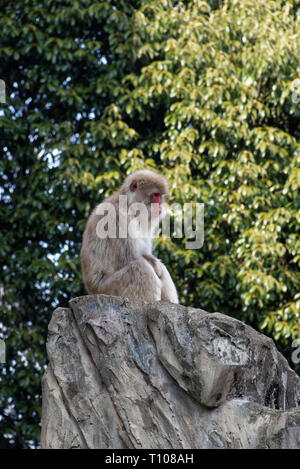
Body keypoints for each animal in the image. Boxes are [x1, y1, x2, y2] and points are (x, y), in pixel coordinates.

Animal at [79, 169, 178, 304]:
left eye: (160, 196)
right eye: (155, 195)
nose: (159, 205)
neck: (129, 206)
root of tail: (90, 290)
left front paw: (157, 265)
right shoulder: (117, 218)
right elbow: (129, 257)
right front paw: (155, 266)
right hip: (108, 288)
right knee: (139, 268)